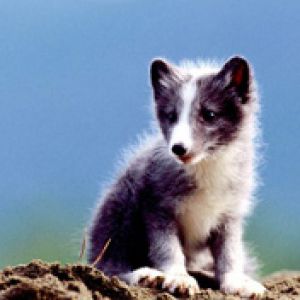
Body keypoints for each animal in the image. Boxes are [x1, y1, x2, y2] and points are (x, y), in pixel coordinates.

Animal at [88, 56, 266, 298]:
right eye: (171, 116)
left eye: (209, 115)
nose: (178, 148)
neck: (205, 167)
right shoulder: (157, 208)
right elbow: (168, 250)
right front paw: (178, 278)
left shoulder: (229, 215)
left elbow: (230, 254)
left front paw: (237, 283)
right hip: (121, 208)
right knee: (108, 267)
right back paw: (145, 276)